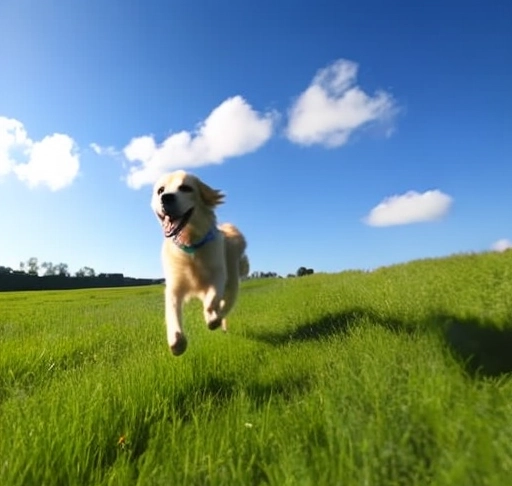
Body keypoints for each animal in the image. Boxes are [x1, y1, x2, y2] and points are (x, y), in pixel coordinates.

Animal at [151, 169, 249, 356]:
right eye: (160, 190)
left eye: (185, 188)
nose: (165, 198)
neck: (190, 247)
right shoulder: (174, 286)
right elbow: (172, 310)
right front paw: (176, 341)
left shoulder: (218, 276)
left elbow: (211, 300)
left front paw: (211, 317)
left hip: (232, 281)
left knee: (226, 305)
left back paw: (217, 320)